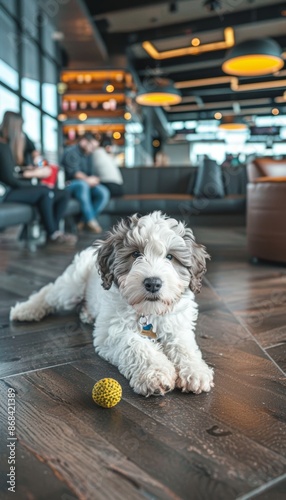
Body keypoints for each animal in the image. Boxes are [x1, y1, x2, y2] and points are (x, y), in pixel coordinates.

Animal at [10, 213, 213, 396]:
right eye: (135, 254)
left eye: (170, 257)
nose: (153, 283)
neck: (149, 312)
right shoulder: (111, 331)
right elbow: (137, 344)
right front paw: (155, 373)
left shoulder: (178, 325)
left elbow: (184, 345)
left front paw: (195, 371)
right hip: (71, 287)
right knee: (49, 292)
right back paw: (24, 310)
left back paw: (86, 313)